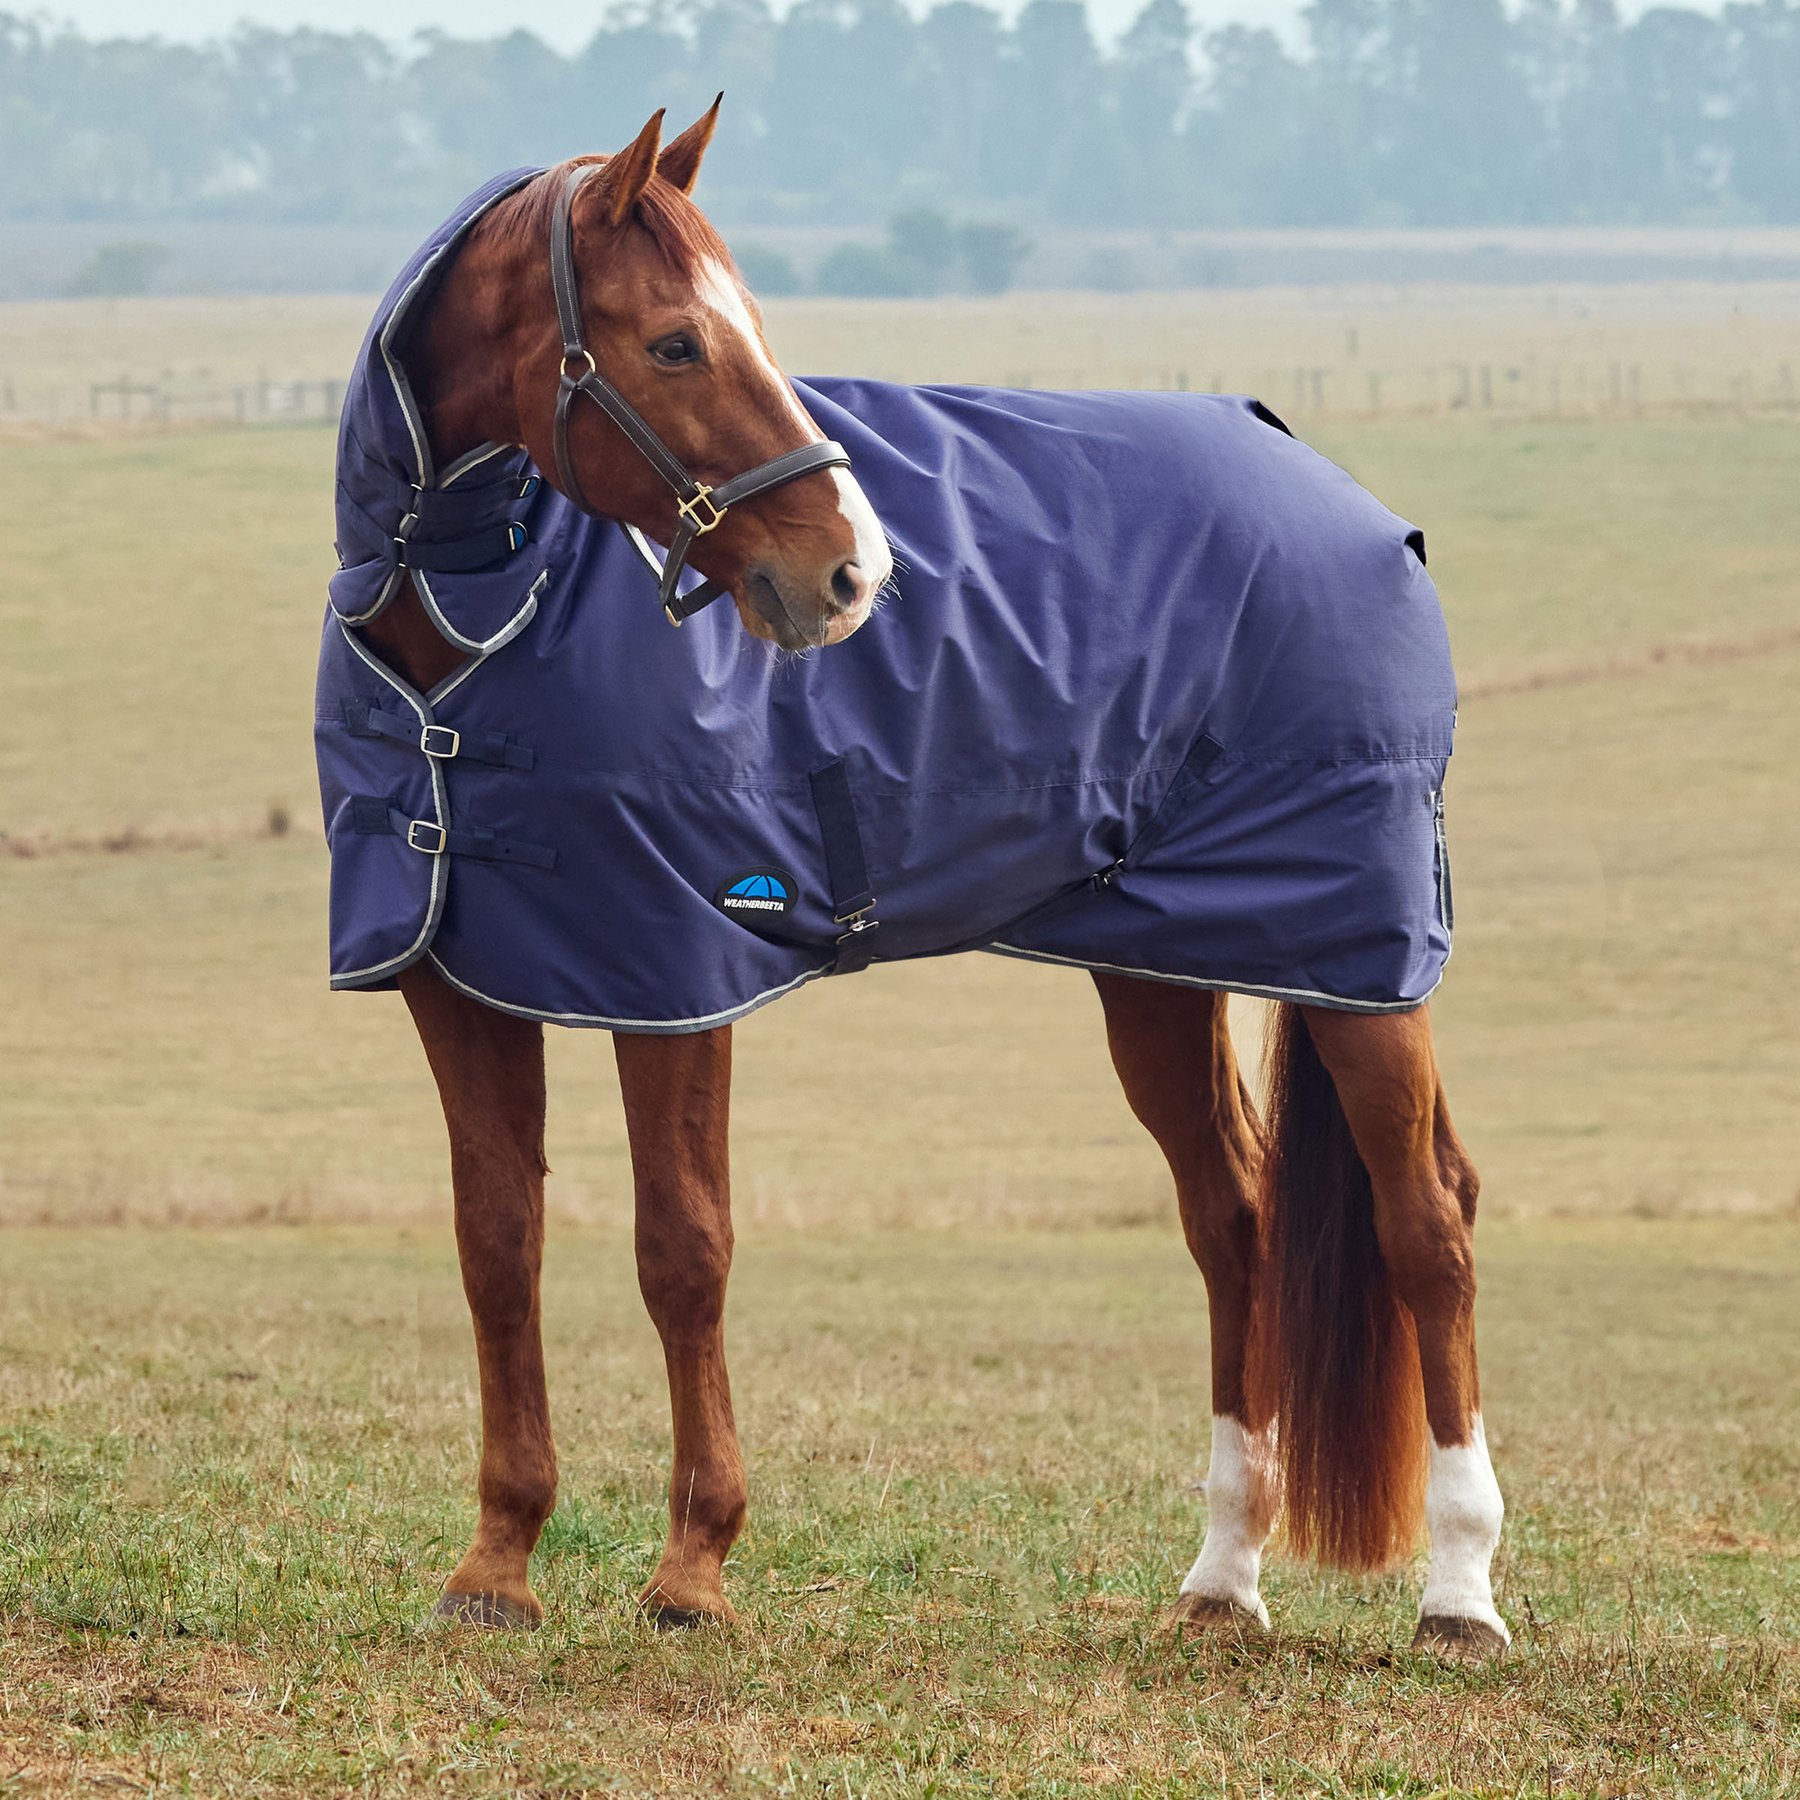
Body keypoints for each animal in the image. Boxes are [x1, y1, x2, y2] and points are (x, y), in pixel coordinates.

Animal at [327, 102, 1509, 1659]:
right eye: (676, 343)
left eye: (750, 327)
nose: (853, 573)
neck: (468, 635)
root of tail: (1340, 489)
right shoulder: (456, 981)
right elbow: (496, 1246)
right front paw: (497, 1567)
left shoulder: (679, 977)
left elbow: (682, 1249)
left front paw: (692, 1571)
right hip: (1163, 969)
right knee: (1235, 1222)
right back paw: (1222, 1578)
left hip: (1359, 958)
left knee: (1427, 1222)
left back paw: (1460, 1595)